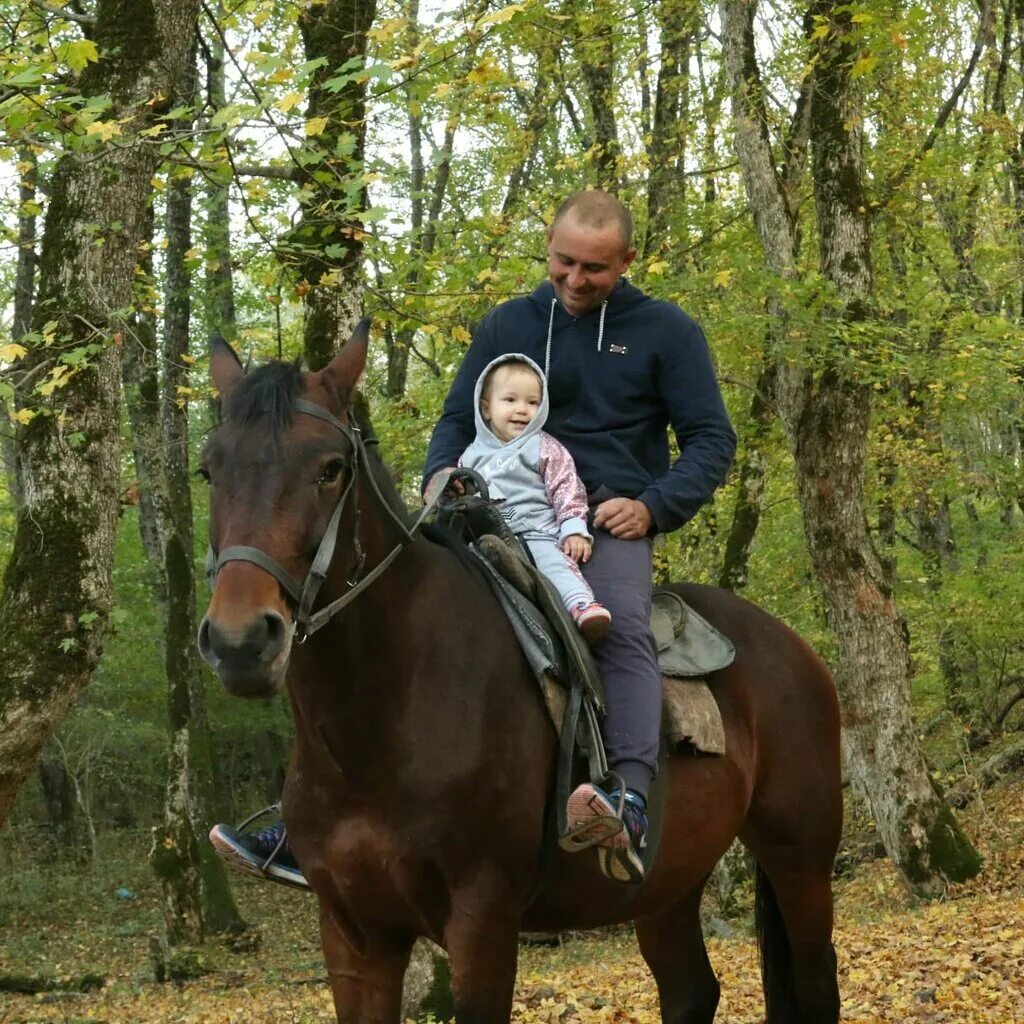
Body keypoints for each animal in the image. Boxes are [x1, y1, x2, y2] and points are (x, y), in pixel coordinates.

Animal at [197, 323, 839, 1024]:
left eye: (329, 469)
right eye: (209, 469)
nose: (240, 641)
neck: (383, 719)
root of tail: (791, 646)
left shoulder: (483, 919)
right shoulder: (354, 934)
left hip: (801, 859)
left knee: (816, 983)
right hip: (667, 884)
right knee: (692, 990)